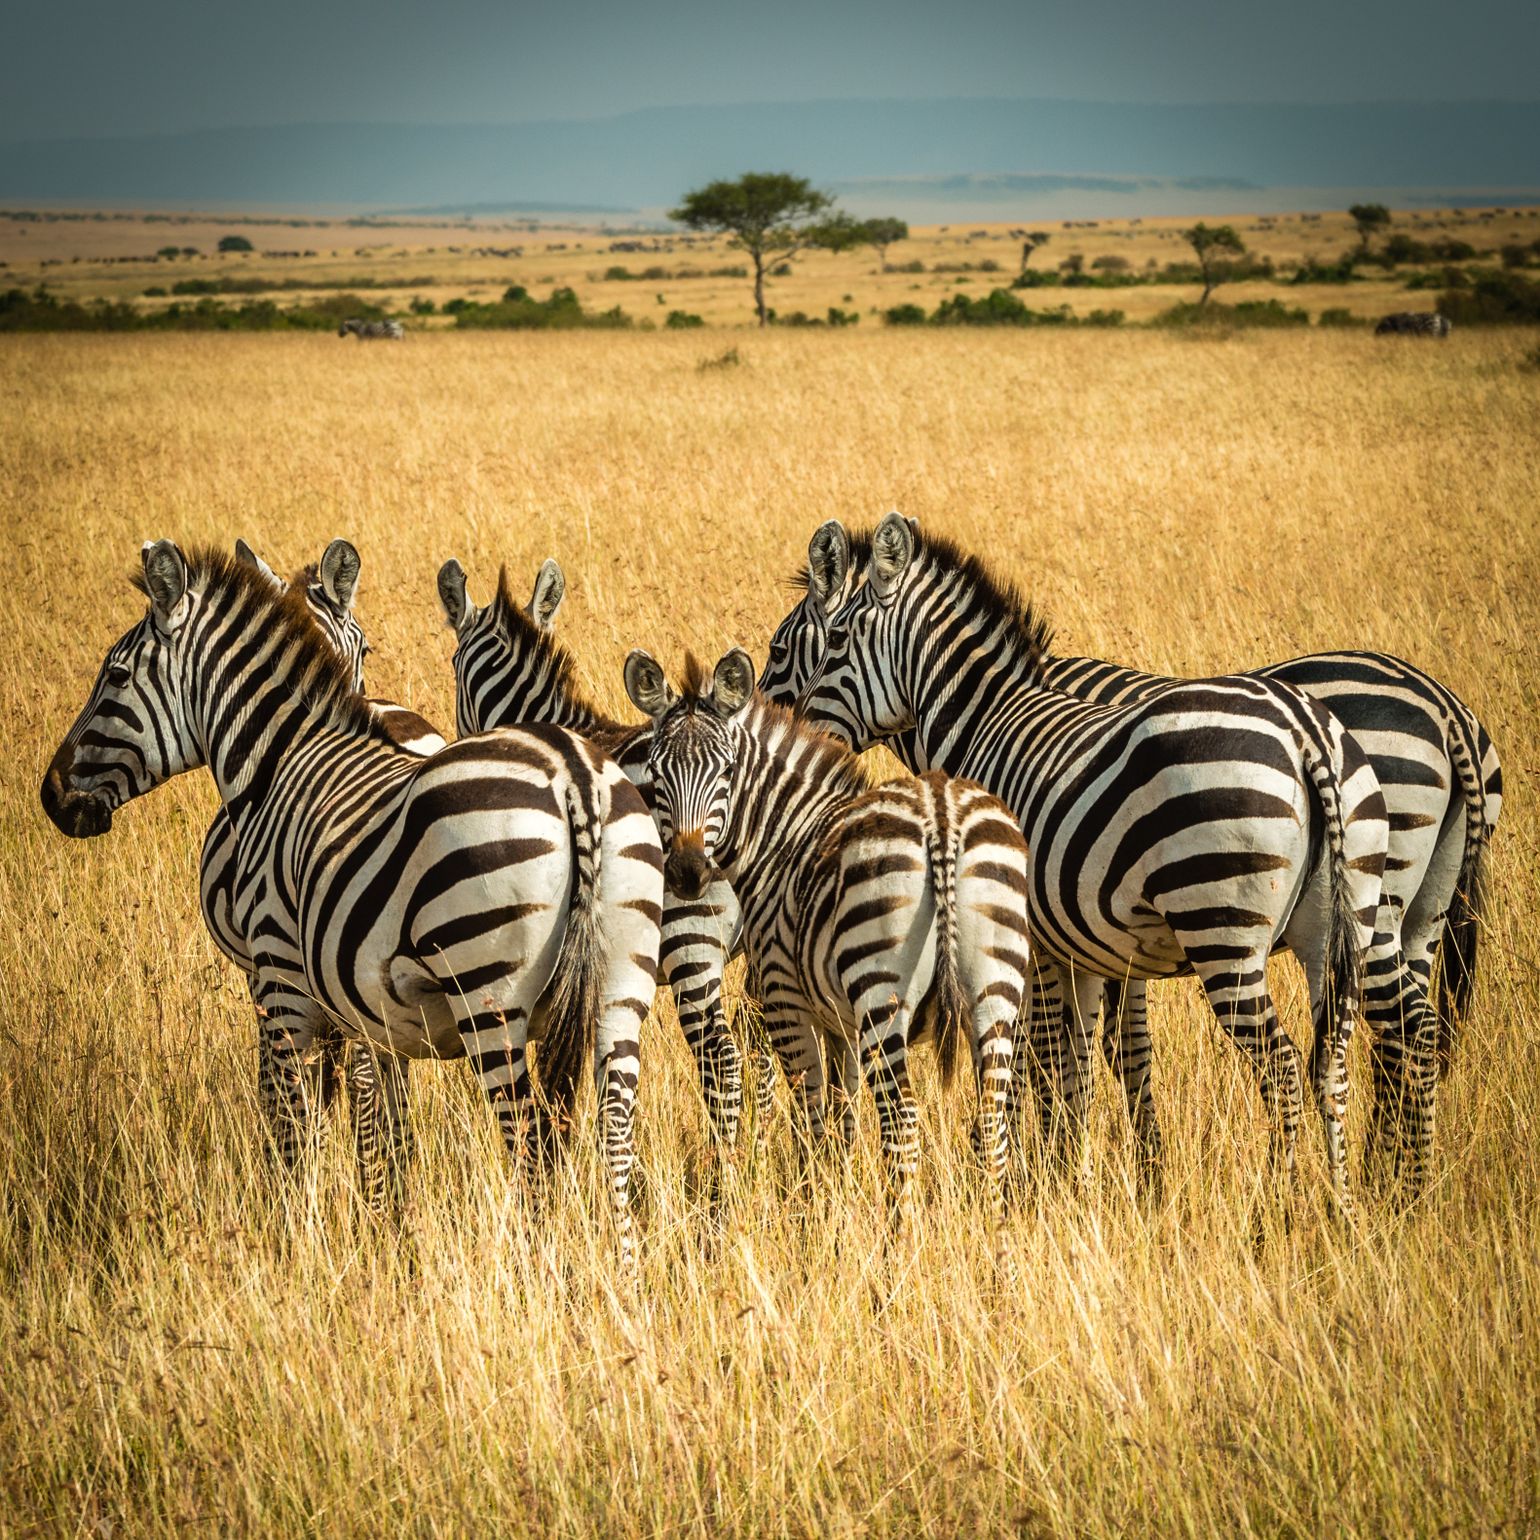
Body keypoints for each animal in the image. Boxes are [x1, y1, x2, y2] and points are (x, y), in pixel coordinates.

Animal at [41, 542, 663, 1264]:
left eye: (113, 675)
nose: (51, 797)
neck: (279, 760)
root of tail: (575, 778)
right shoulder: (365, 1006)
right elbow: (374, 1118)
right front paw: (384, 1230)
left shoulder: (281, 978)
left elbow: (295, 1121)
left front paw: (295, 1241)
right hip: (619, 988)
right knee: (613, 1130)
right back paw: (624, 1273)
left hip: (490, 995)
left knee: (530, 1140)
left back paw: (538, 1271)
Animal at [623, 647, 1031, 1242]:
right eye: (655, 775)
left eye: (726, 772)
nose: (687, 873)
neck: (783, 837)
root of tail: (940, 812)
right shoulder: (839, 1023)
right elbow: (843, 1121)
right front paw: (832, 1209)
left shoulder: (787, 1002)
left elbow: (814, 1120)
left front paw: (813, 1219)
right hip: (995, 990)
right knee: (992, 1121)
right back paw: (997, 1243)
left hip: (881, 992)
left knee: (903, 1121)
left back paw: (899, 1247)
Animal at [770, 518, 1497, 1194]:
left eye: (803, 646)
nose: (780, 728)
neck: (986, 719)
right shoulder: (1099, 942)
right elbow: (1101, 1054)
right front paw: (1098, 1171)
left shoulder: (1035, 934)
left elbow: (1047, 1052)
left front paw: (1039, 1173)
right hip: (1382, 917)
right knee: (1380, 1044)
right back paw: (1373, 1194)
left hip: (1229, 920)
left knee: (1301, 1060)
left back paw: (1299, 1203)